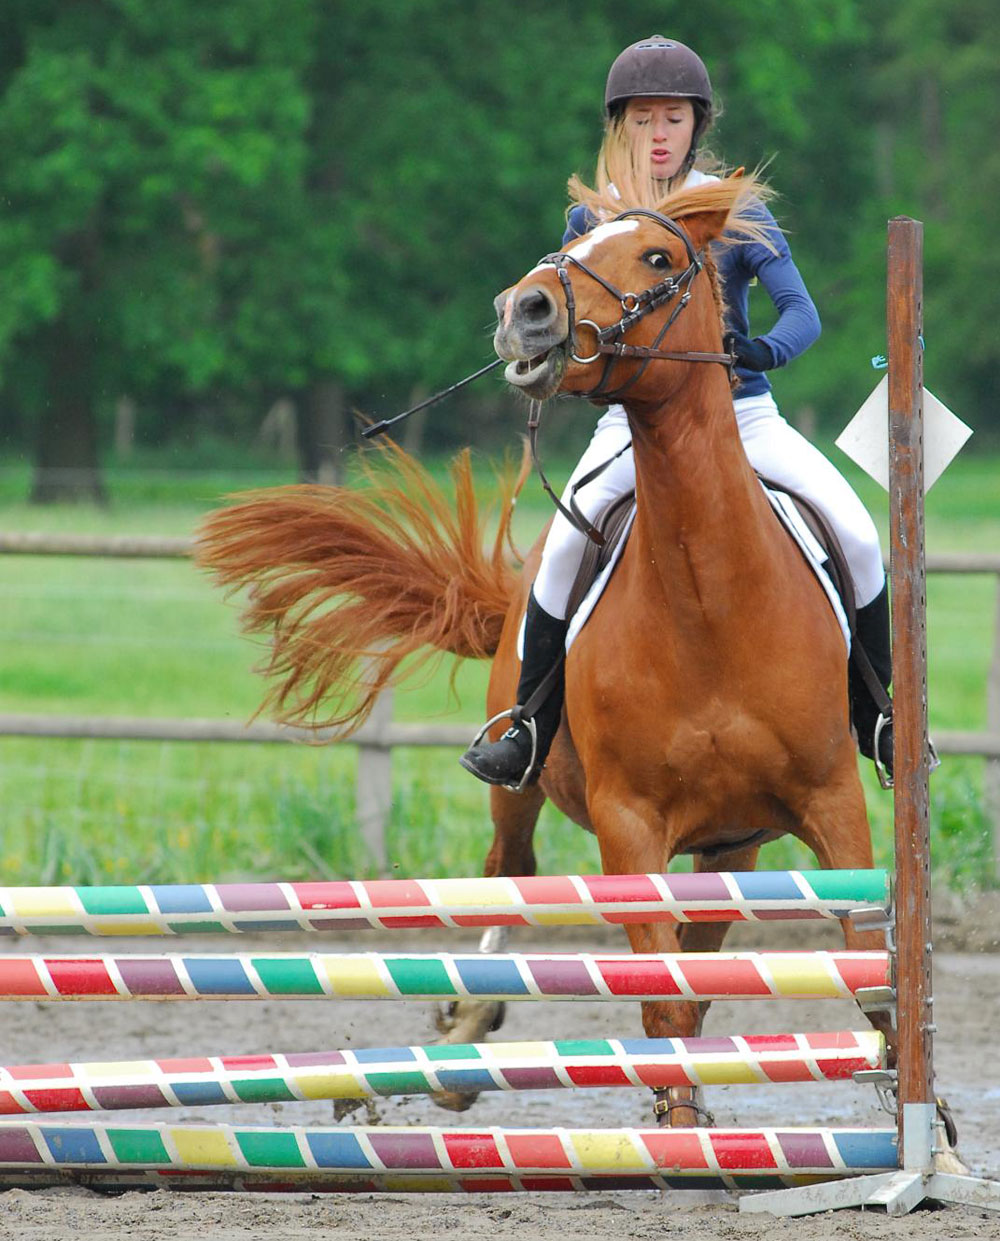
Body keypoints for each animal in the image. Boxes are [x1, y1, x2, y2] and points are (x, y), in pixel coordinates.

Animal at [199, 172, 888, 1126]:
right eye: (571, 246)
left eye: (661, 257)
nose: (521, 310)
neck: (713, 600)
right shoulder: (629, 824)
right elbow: (663, 996)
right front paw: (679, 1125)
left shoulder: (832, 803)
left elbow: (868, 981)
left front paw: (931, 1129)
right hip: (521, 786)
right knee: (511, 868)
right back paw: (465, 1030)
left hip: (732, 844)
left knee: (703, 950)